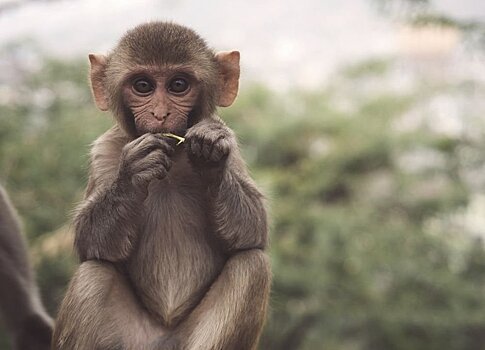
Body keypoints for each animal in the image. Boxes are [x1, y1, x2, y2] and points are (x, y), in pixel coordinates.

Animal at [53, 22, 272, 350]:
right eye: (143, 86)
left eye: (178, 85)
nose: (160, 114)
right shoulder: (105, 151)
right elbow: (90, 242)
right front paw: (133, 173)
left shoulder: (232, 148)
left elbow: (253, 231)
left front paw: (210, 155)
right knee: (94, 274)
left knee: (251, 265)